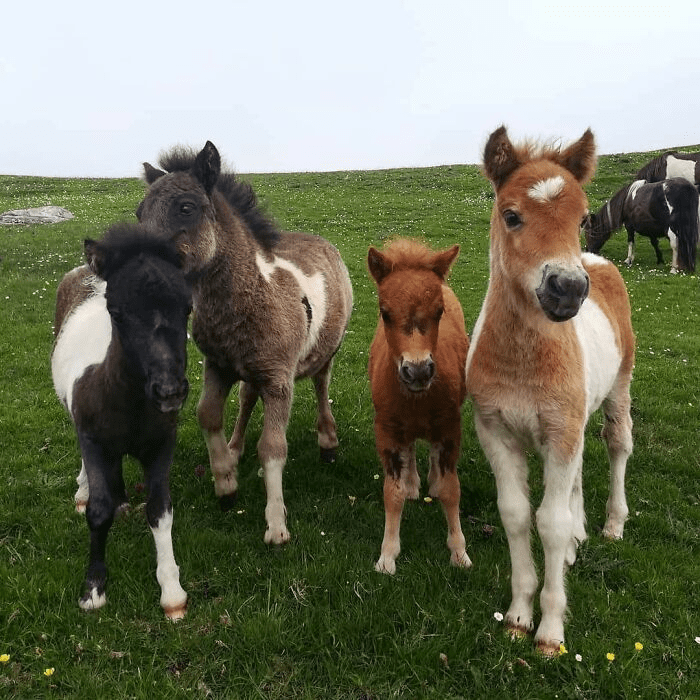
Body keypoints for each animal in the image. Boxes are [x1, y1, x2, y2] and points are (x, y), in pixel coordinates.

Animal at [51, 223, 191, 616]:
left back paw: (123, 499)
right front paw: (93, 590)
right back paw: (85, 489)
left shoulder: (161, 444)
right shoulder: (93, 438)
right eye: (115, 311)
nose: (169, 392)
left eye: (188, 308)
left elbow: (160, 510)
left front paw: (172, 593)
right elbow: (98, 513)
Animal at [137, 142, 356, 548]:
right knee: (246, 398)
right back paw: (236, 449)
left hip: (323, 354)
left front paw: (276, 525)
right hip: (250, 370)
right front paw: (226, 483)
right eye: (139, 212)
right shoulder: (218, 365)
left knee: (321, 384)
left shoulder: (279, 379)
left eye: (186, 207)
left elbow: (273, 447)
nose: (136, 273)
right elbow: (208, 415)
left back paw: (328, 443)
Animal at [366, 241, 470, 576]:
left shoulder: (450, 426)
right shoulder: (386, 430)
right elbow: (392, 492)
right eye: (384, 313)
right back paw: (413, 483)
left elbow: (451, 489)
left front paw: (459, 552)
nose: (418, 371)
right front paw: (387, 555)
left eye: (439, 311)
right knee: (410, 446)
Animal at [468, 127, 636, 656]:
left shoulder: (560, 432)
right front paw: (519, 615)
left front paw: (550, 630)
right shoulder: (496, 430)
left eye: (582, 218)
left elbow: (551, 522)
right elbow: (518, 515)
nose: (567, 289)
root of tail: (597, 260)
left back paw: (611, 523)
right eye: (511, 215)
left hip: (619, 386)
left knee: (618, 443)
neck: (523, 363)